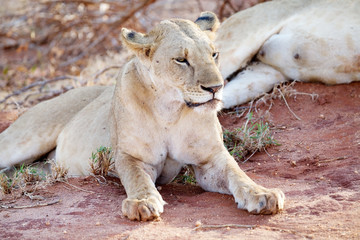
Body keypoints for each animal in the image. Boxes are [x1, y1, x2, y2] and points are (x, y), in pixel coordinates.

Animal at [0, 12, 284, 220]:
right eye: (181, 60)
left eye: (214, 54)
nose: (216, 88)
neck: (170, 109)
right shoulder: (129, 156)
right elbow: (137, 178)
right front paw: (143, 203)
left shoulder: (210, 159)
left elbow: (237, 173)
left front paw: (263, 194)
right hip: (24, 139)